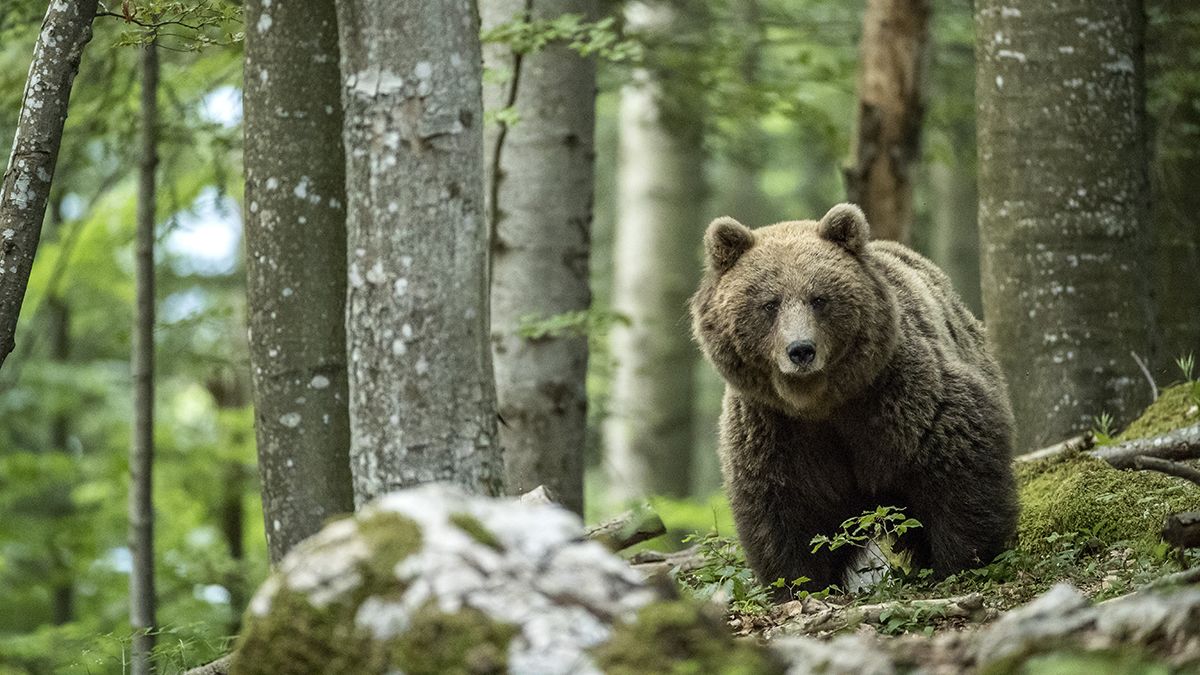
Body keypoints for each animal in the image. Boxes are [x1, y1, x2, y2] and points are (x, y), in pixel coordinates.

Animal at [691, 201, 1017, 590]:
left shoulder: (898, 398)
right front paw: (799, 584)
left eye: (819, 299)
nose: (801, 350)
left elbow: (957, 468)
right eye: (770, 303)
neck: (820, 403)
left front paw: (960, 562)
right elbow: (783, 510)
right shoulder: (775, 427)